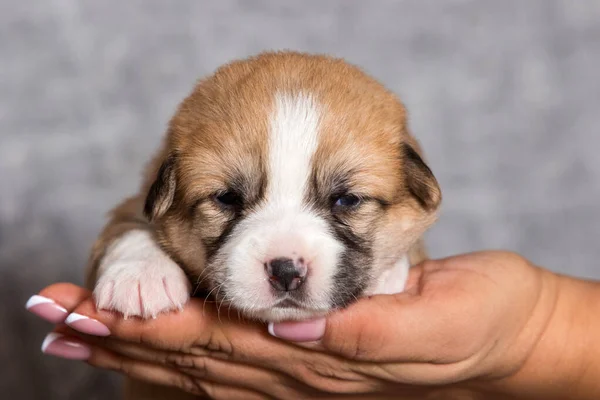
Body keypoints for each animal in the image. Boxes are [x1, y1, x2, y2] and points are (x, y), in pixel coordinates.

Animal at [85, 51, 440, 324]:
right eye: (227, 197)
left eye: (347, 199)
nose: (286, 271)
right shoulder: (138, 201)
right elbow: (130, 227)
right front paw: (140, 275)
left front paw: (387, 275)